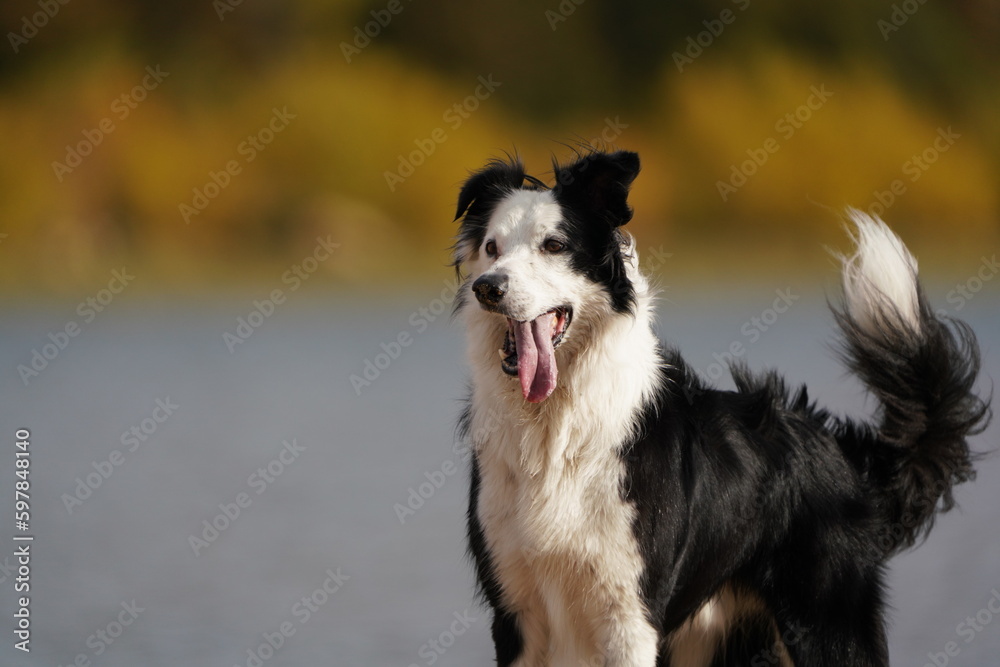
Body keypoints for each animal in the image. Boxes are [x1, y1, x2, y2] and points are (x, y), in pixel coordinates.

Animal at [456, 151, 992, 667]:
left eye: (553, 245)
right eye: (491, 248)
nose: (488, 288)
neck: (555, 425)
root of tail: (839, 449)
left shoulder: (629, 614)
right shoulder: (515, 613)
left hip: (828, 628)